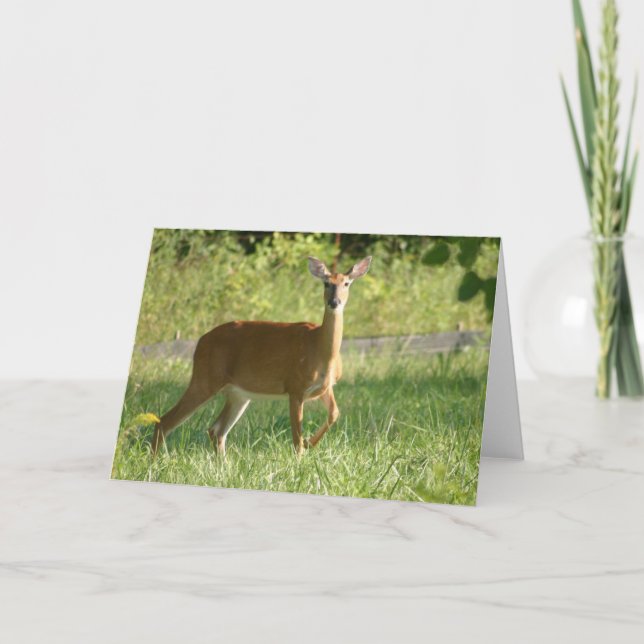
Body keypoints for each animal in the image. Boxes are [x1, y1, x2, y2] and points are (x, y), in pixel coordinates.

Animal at [151, 255, 372, 457]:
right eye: (326, 283)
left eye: (346, 283)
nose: (334, 302)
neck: (320, 348)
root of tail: (200, 342)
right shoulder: (295, 386)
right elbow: (296, 439)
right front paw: (302, 455)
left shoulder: (326, 386)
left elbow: (334, 413)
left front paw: (310, 442)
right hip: (205, 378)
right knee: (164, 421)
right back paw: (155, 463)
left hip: (238, 393)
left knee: (216, 430)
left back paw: (224, 466)